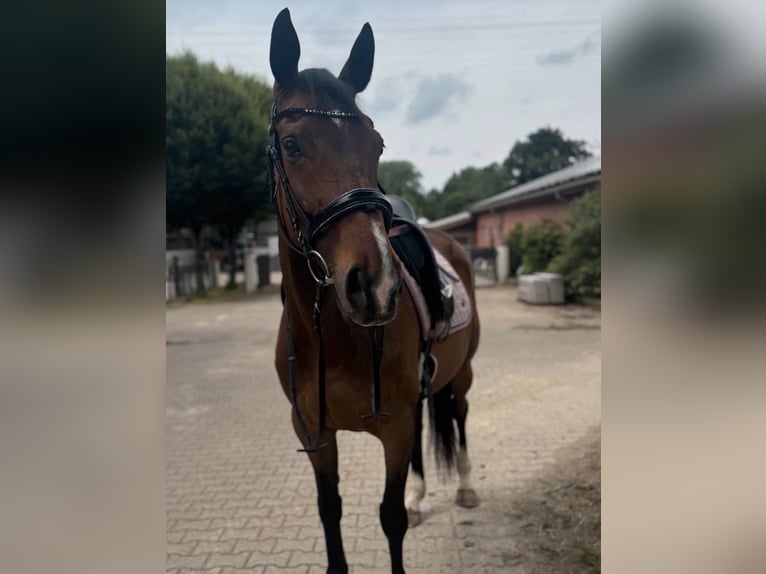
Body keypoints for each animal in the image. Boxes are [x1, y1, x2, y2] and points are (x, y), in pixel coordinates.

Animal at [269, 9, 480, 574]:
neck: (332, 338)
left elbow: (390, 519)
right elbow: (330, 511)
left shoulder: (396, 426)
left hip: (462, 374)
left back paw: (465, 487)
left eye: (376, 145)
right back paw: (423, 494)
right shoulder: (313, 433)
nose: (376, 285)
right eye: (292, 145)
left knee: (459, 416)